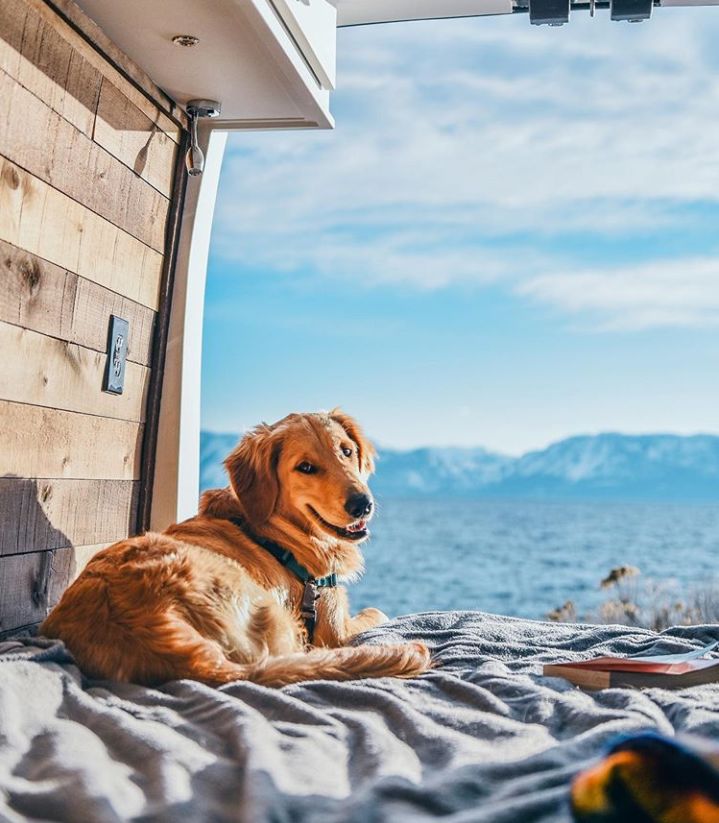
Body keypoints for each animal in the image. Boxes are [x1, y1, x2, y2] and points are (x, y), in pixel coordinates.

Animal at [39, 412, 430, 688]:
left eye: (346, 451)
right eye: (305, 467)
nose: (362, 504)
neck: (273, 534)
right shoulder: (334, 628)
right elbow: (375, 613)